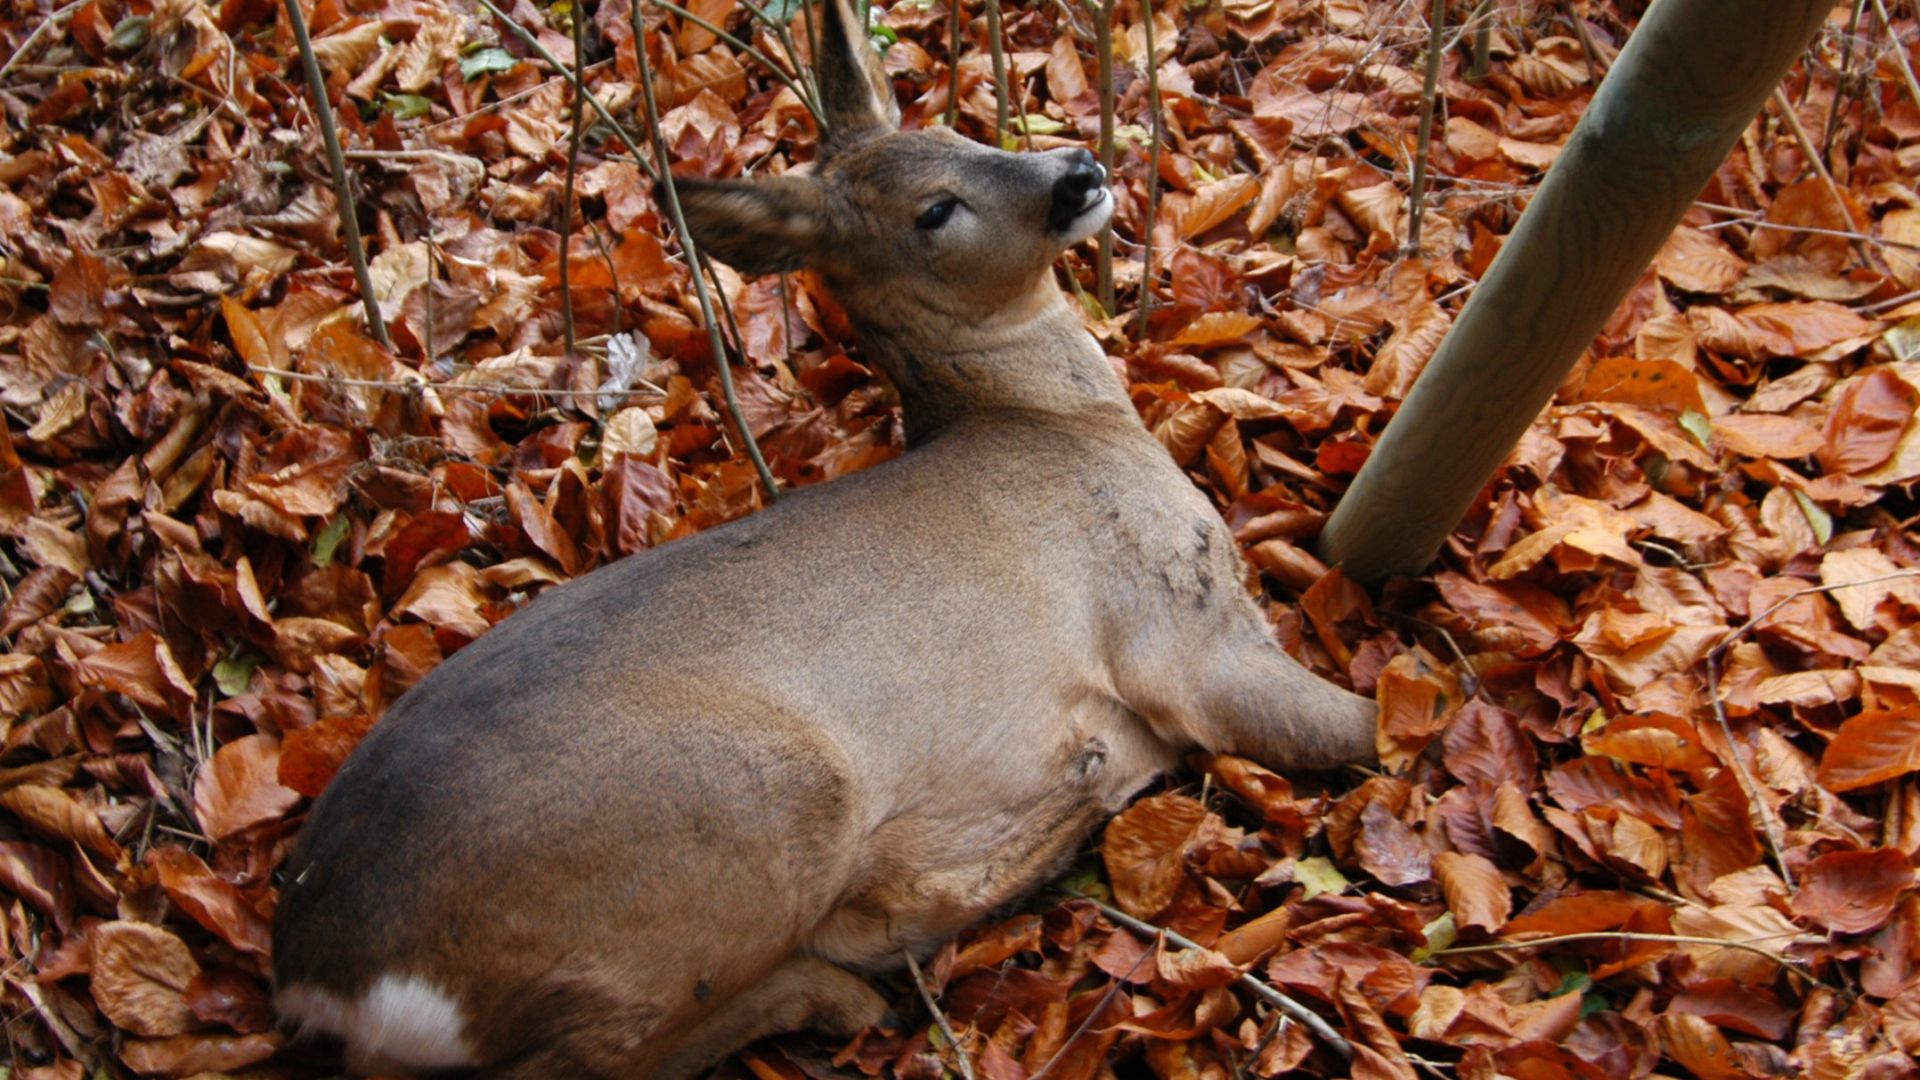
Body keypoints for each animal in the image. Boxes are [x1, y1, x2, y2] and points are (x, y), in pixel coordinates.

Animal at [270, 0, 1382, 1068]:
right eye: (933, 210)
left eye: (956, 129)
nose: (1076, 170)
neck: (1051, 420)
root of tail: (327, 979)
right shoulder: (1177, 633)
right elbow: (1373, 728)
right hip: (758, 805)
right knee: (600, 1054)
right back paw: (860, 971)